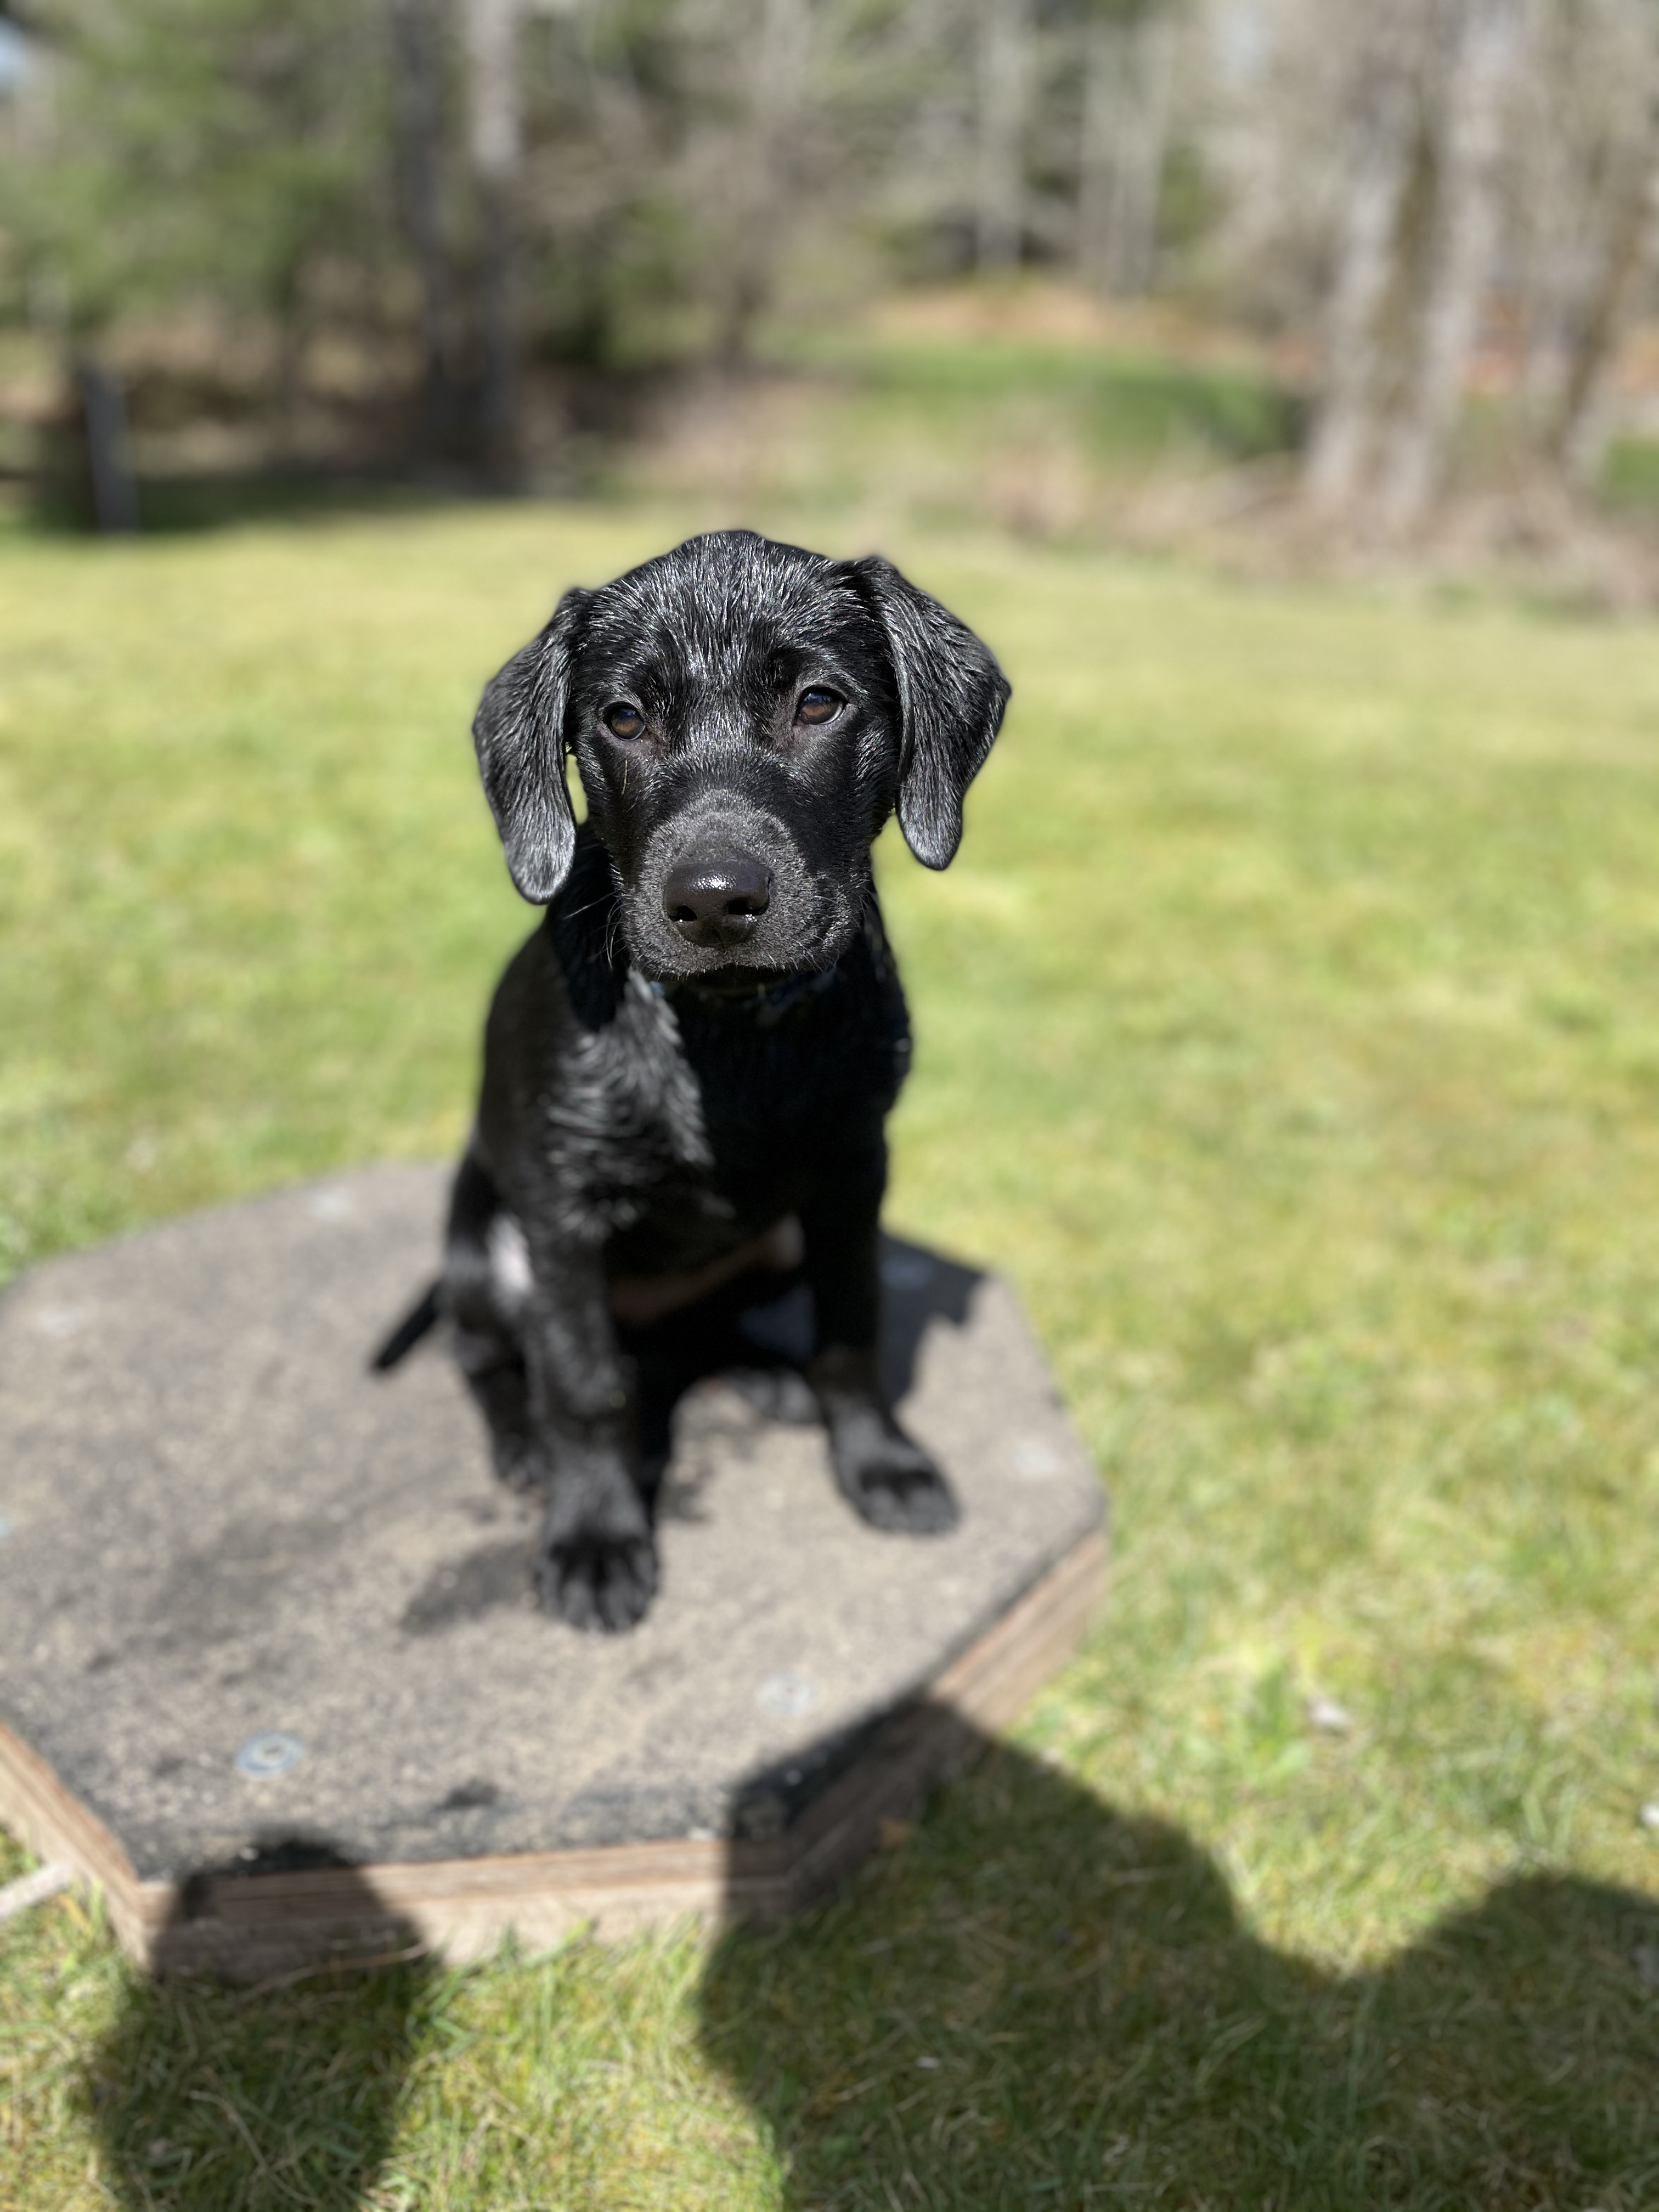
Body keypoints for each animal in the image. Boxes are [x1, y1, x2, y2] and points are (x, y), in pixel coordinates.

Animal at [382, 528, 1013, 1637]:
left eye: (817, 703)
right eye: (624, 719)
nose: (715, 901)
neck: (730, 1040)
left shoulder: (852, 1173)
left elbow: (852, 1327)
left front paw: (878, 1461)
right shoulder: (562, 1215)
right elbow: (582, 1384)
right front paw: (594, 1533)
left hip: (771, 1242)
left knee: (700, 1329)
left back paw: (760, 1375)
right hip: (487, 1247)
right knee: (496, 1360)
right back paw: (522, 1443)